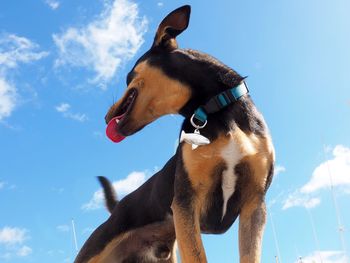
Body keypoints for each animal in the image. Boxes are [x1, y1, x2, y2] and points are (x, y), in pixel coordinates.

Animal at [78, 4, 274, 263]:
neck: (217, 111)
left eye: (127, 76)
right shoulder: (185, 201)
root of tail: (119, 206)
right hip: (95, 250)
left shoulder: (254, 202)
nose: (104, 116)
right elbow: (196, 256)